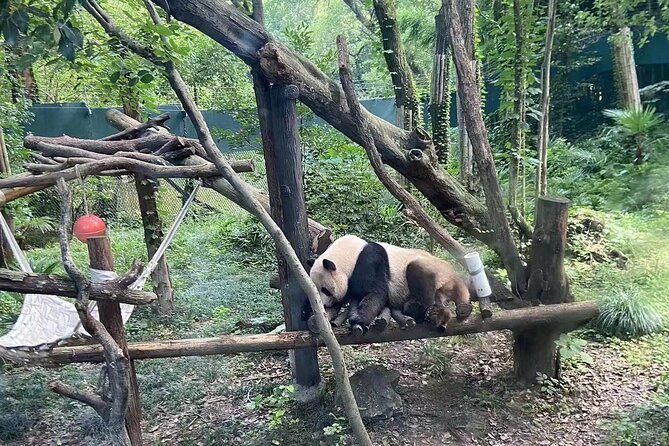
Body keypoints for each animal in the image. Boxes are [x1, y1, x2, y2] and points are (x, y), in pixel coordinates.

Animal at [308, 234, 472, 331]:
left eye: (325, 290)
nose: (324, 305)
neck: (351, 253)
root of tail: (454, 276)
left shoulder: (369, 261)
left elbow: (376, 292)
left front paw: (358, 318)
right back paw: (438, 314)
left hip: (432, 268)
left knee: (418, 274)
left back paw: (415, 308)